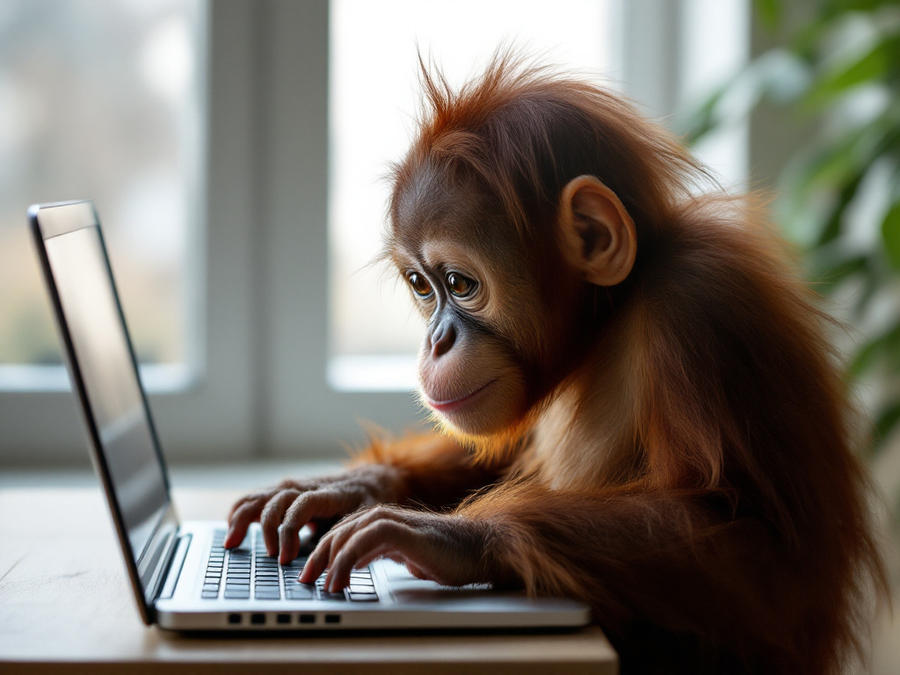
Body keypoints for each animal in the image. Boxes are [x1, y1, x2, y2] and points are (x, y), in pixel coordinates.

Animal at [225, 55, 886, 674]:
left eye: (459, 284)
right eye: (420, 286)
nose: (436, 340)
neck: (614, 317)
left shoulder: (703, 312)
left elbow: (760, 549)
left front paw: (453, 537)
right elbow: (506, 457)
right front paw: (338, 489)